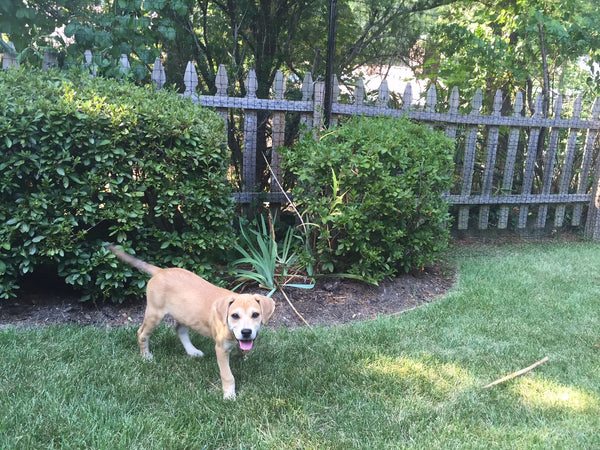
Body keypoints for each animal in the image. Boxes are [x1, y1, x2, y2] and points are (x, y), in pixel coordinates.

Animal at [107, 244, 275, 399]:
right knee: (142, 334)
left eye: (255, 314)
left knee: (179, 329)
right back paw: (146, 357)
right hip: (154, 312)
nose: (246, 332)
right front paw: (229, 395)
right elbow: (228, 375)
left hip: (185, 313)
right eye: (235, 315)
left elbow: (243, 348)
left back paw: (192, 351)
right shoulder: (220, 349)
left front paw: (243, 356)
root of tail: (160, 271)